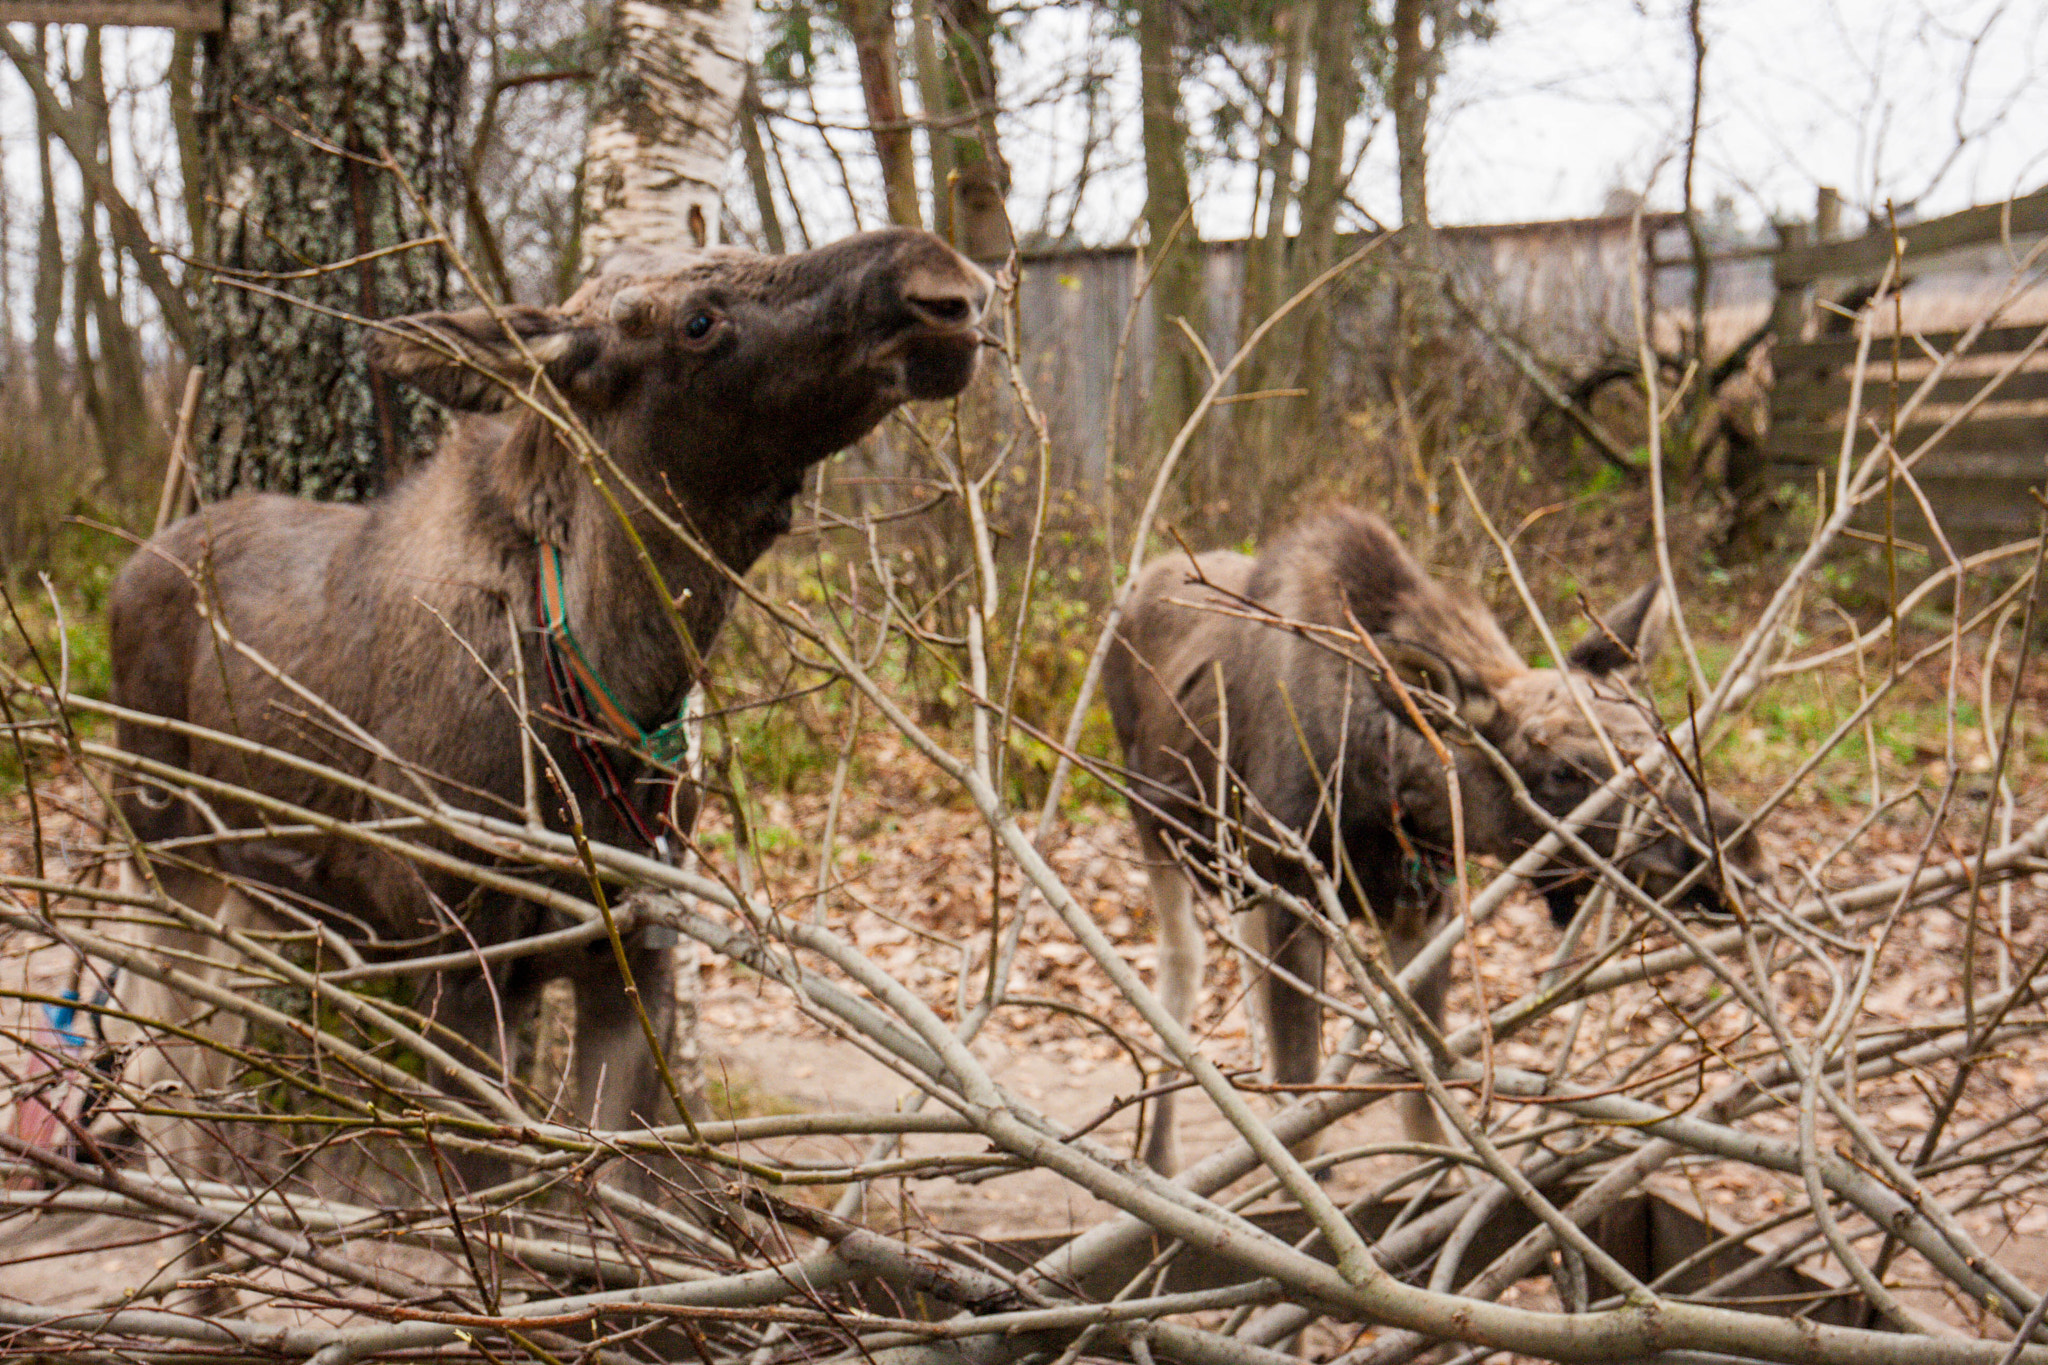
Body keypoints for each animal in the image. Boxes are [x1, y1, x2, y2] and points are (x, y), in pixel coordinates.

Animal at [99, 229, 992, 1207]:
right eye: (697, 320)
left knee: (201, 1064)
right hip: (165, 855)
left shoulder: (635, 960)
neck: (613, 698)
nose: (943, 284)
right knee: (155, 1068)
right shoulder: (464, 968)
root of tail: (126, 569)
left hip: (253, 891)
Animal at [1104, 507, 1766, 1174]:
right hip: (1152, 825)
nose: (1741, 860)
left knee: (1244, 954)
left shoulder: (1424, 905)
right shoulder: (1300, 895)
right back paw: (1159, 1153)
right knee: (1183, 960)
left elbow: (1426, 1112)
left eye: (1661, 735)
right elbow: (1306, 1116)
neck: (1380, 787)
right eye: (1561, 772)